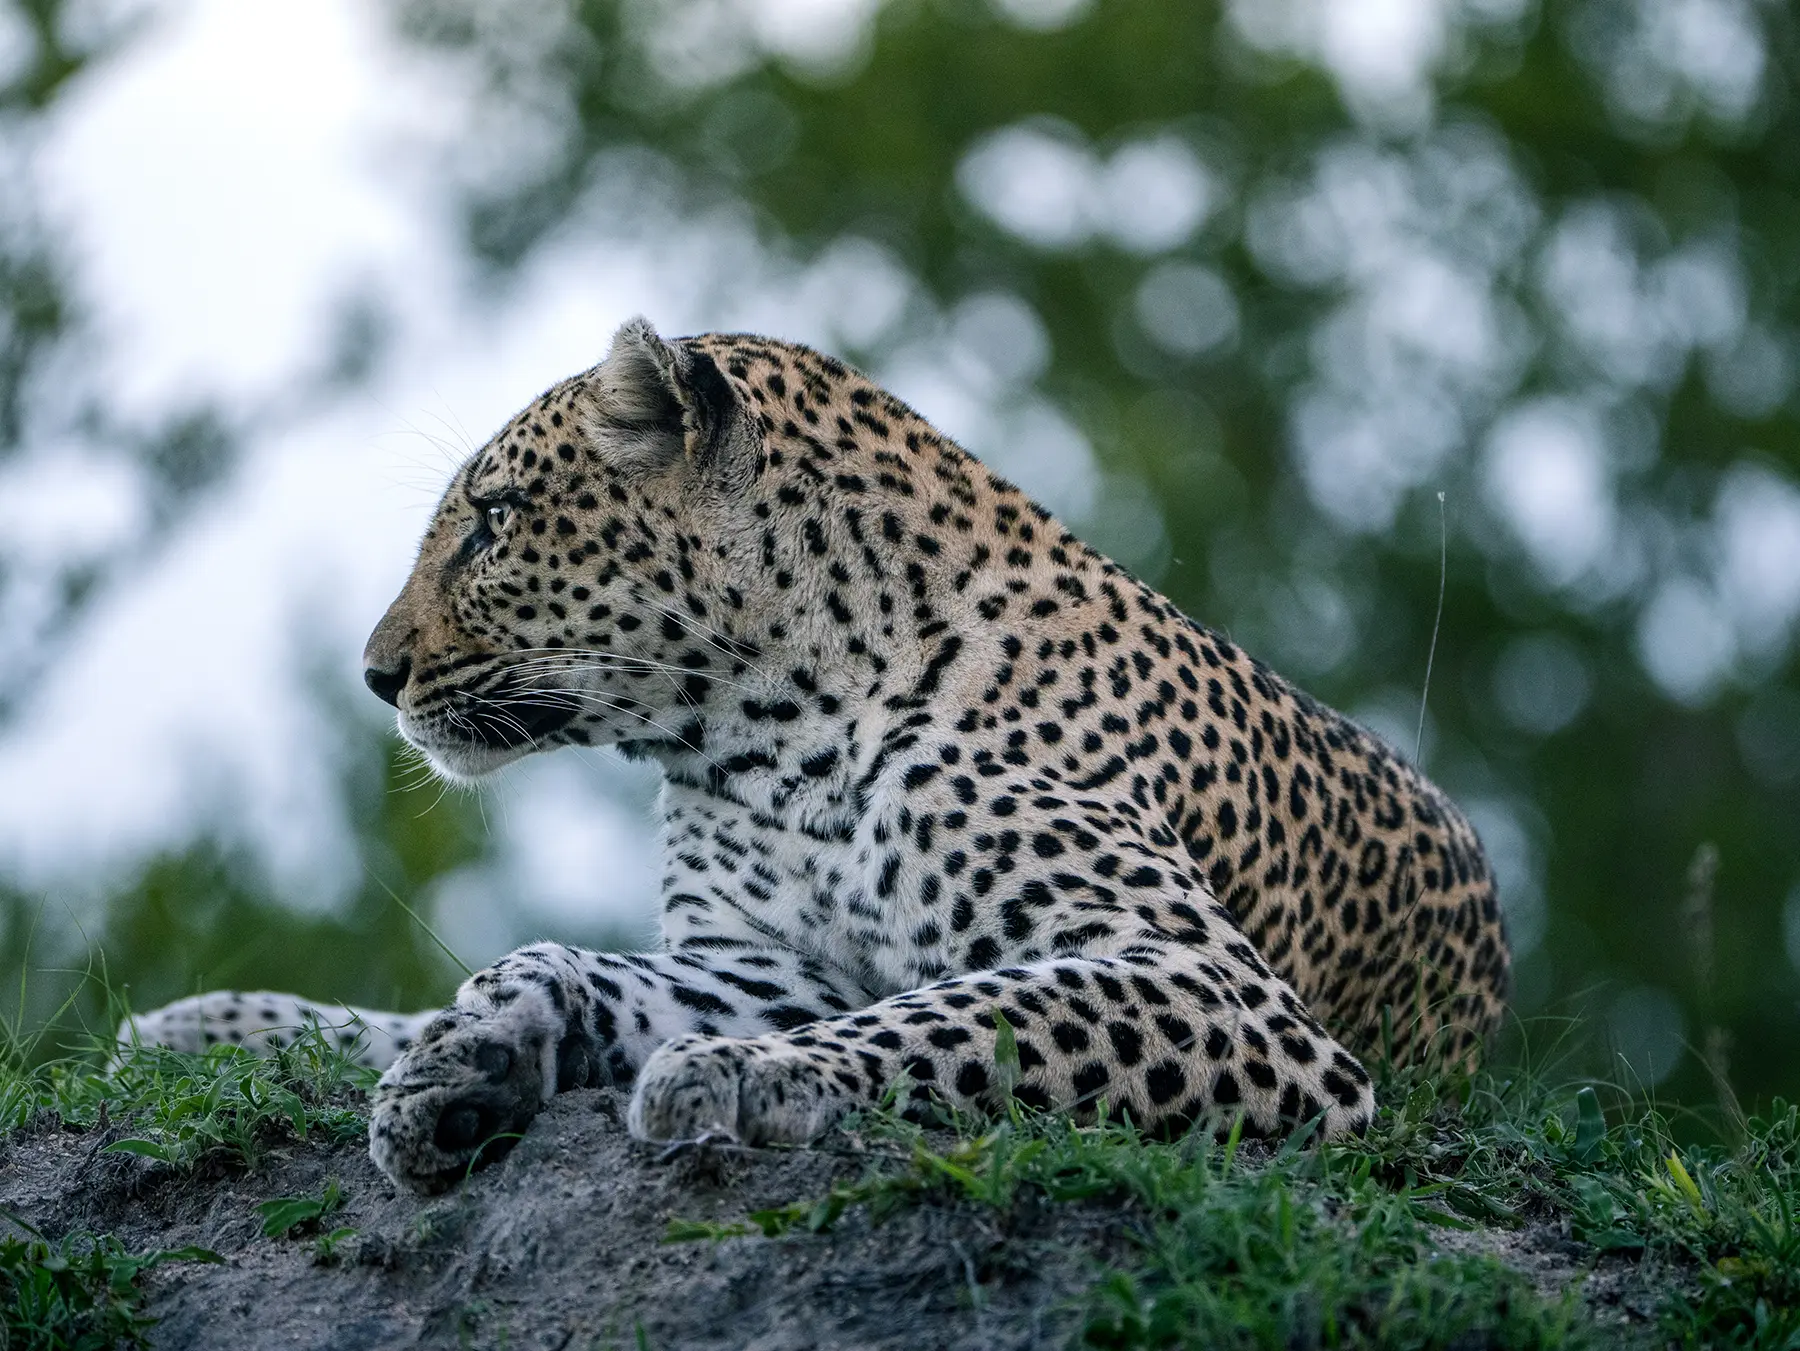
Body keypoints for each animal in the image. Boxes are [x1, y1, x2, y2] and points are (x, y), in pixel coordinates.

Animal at [124, 318, 1509, 1193]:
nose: (376, 674)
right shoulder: (761, 964)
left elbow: (964, 1014)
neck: (771, 735)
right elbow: (556, 960)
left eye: (495, 522)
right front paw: (476, 1056)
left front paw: (739, 1074)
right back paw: (200, 1029)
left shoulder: (1207, 979)